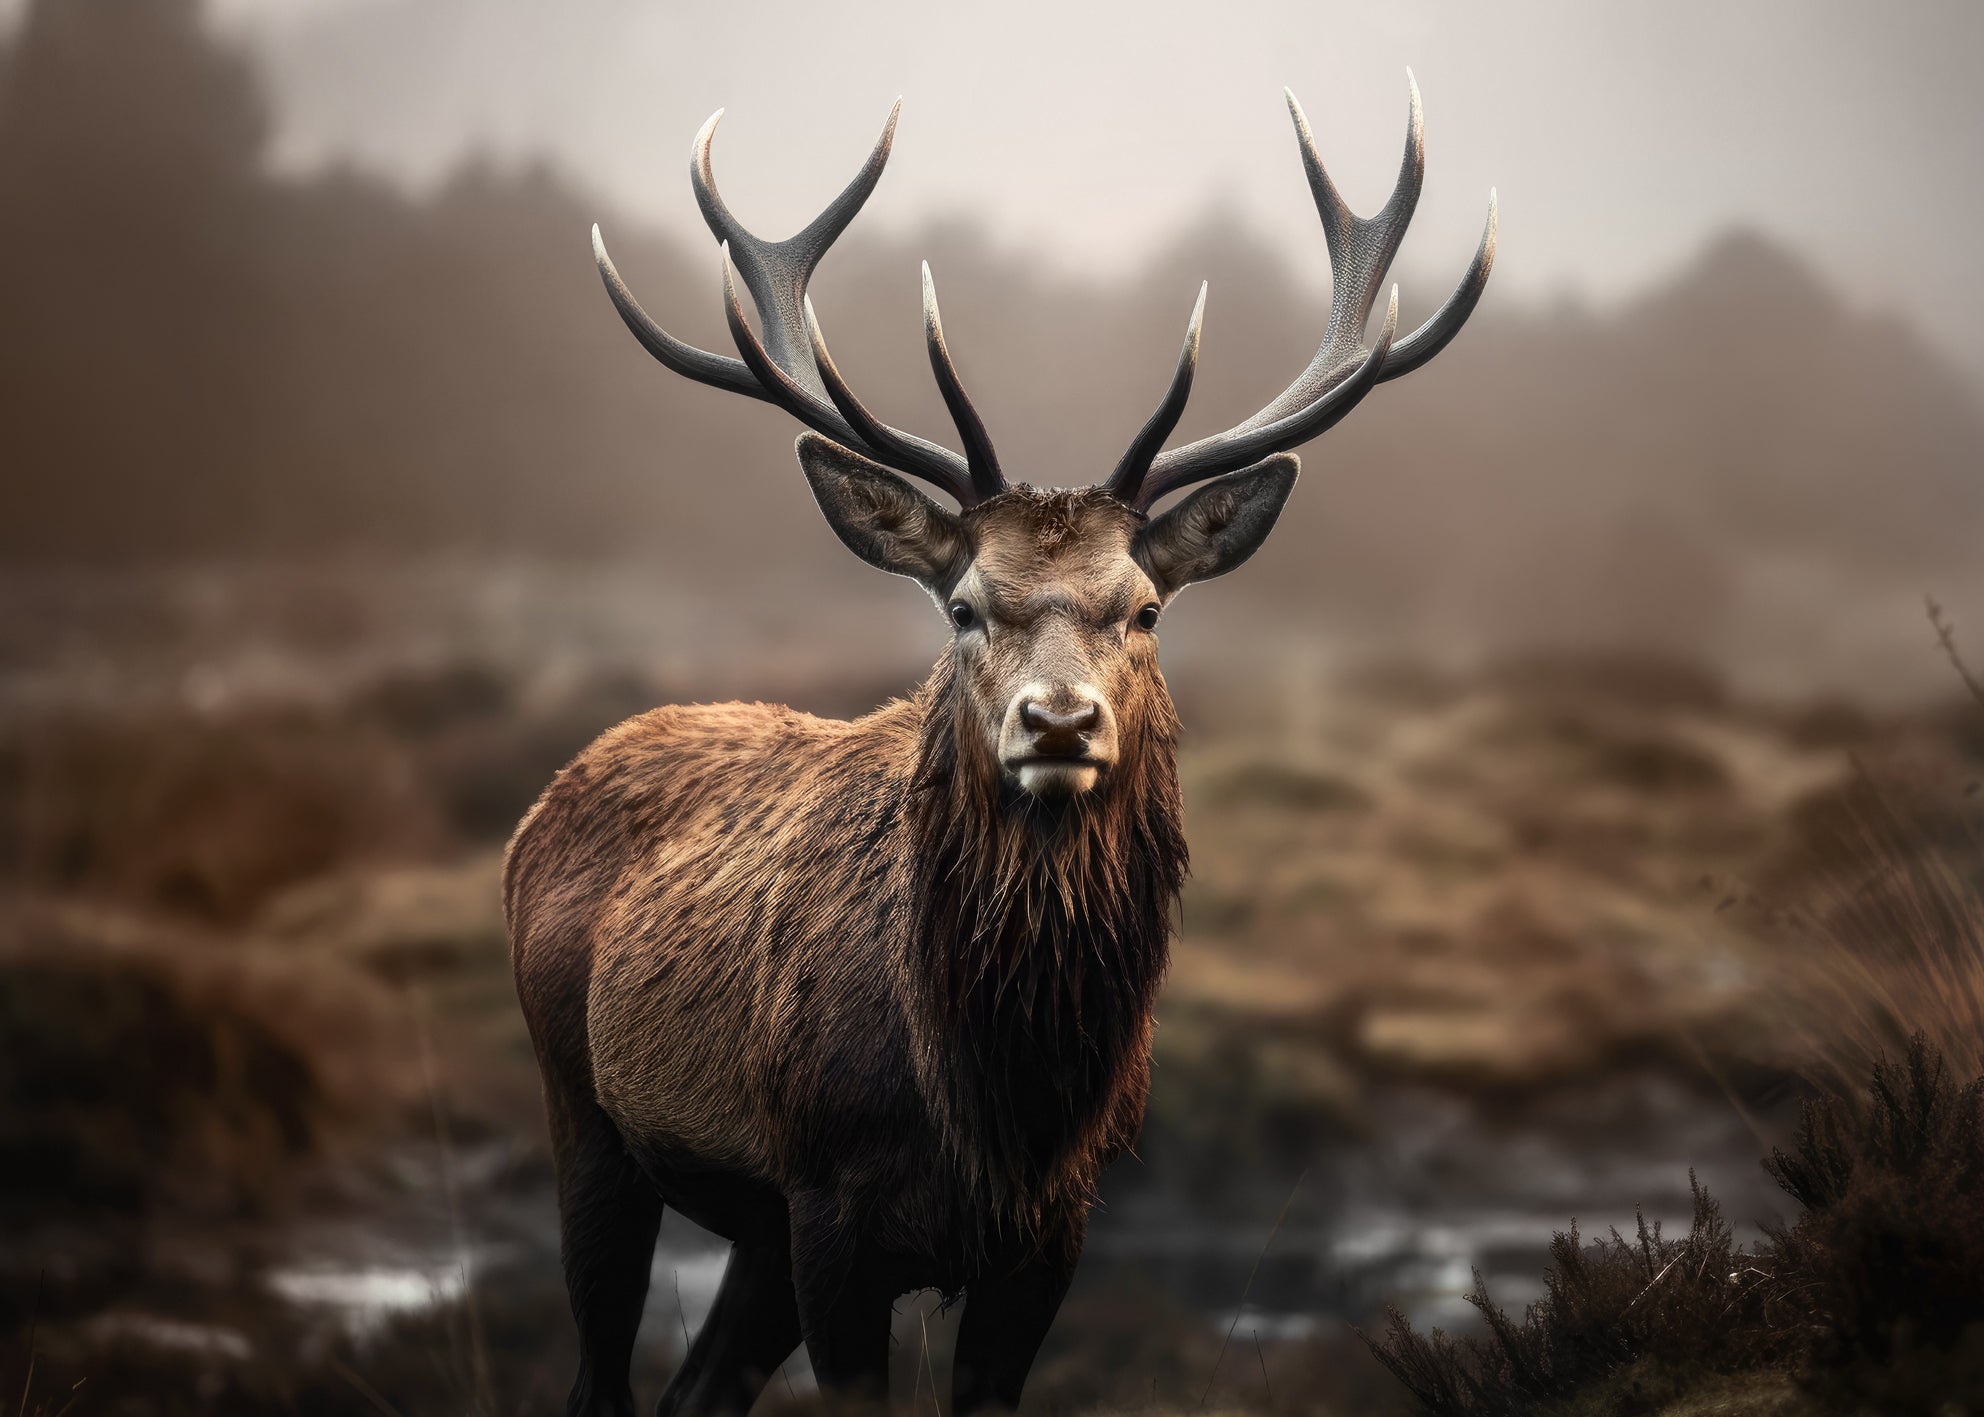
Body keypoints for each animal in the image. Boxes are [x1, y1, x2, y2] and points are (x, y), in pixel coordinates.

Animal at [508, 73, 1494, 1417]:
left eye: (1143, 606)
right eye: (966, 604)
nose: (1060, 720)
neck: (999, 1108)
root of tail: (540, 804)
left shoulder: (1051, 1235)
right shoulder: (831, 1210)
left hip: (750, 1231)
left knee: (693, 1387)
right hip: (588, 1114)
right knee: (601, 1366)